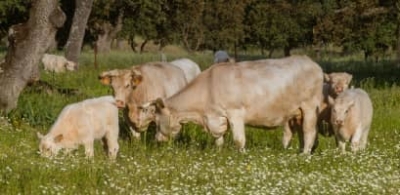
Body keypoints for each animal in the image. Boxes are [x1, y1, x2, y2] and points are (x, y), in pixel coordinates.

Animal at [139, 55, 324, 154]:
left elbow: (239, 140)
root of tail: (310, 61)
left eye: (157, 121)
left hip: (309, 107)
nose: (156, 140)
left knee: (309, 131)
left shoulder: (235, 113)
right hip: (296, 112)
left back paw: (304, 154)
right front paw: (219, 153)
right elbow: (218, 138)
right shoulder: (216, 117)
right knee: (298, 132)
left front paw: (241, 156)